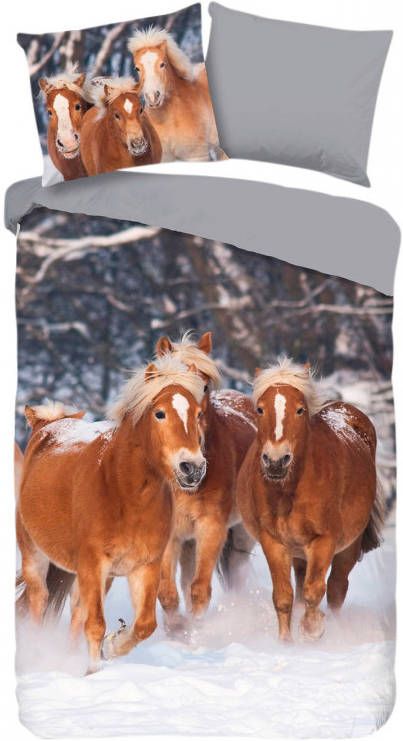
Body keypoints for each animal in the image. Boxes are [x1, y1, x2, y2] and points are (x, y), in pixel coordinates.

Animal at [16, 357, 206, 673]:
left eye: (199, 414)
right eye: (160, 413)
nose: (192, 467)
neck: (123, 493)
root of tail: (48, 425)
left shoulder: (144, 566)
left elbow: (144, 625)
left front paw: (112, 646)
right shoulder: (94, 564)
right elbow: (94, 624)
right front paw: (94, 669)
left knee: (76, 611)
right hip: (34, 554)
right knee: (39, 600)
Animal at [154, 331, 256, 624]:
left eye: (205, 386)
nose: (192, 466)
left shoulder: (211, 527)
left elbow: (199, 590)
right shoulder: (172, 534)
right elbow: (168, 593)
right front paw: (177, 629)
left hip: (241, 534)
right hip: (188, 542)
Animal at [237, 357, 383, 642]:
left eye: (300, 410)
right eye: (260, 409)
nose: (276, 460)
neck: (290, 492)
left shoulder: (324, 541)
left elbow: (315, 590)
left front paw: (313, 629)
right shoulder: (274, 542)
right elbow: (284, 596)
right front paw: (286, 643)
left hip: (348, 547)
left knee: (336, 588)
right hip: (299, 553)